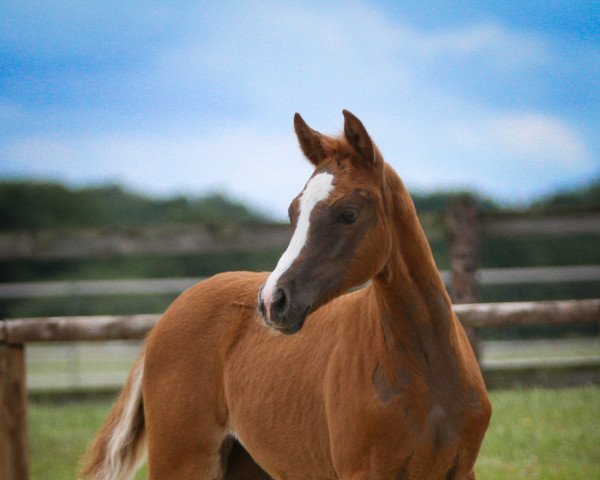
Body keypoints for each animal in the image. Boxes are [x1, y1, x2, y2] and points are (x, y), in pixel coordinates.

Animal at [81, 110, 492, 478]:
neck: (425, 371)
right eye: (294, 212)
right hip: (181, 461)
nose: (271, 301)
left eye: (348, 213)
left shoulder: (461, 471)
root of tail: (163, 322)